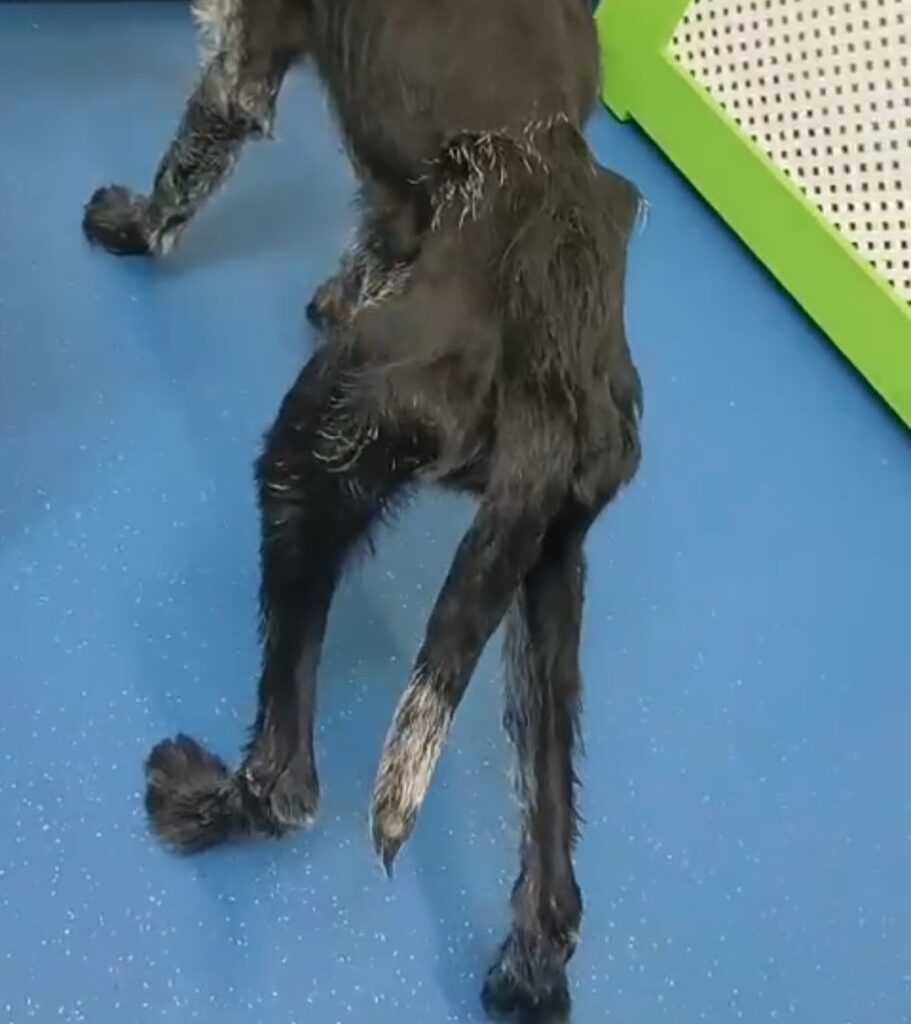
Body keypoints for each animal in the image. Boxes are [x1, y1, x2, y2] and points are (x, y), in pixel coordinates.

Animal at [84, 2, 643, 1019]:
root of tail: (554, 363)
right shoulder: (390, 212)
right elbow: (368, 243)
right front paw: (342, 292)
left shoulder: (239, 64)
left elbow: (187, 166)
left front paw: (136, 227)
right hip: (542, 579)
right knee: (556, 877)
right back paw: (527, 975)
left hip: (306, 462)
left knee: (287, 779)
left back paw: (200, 804)